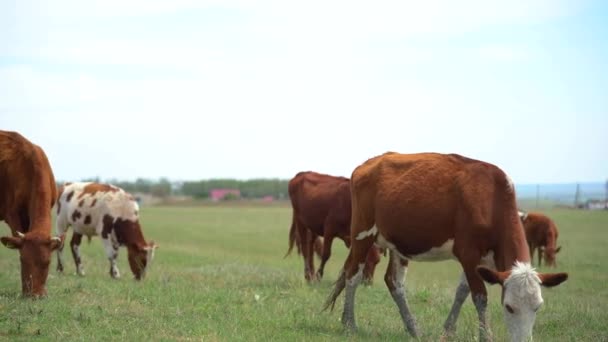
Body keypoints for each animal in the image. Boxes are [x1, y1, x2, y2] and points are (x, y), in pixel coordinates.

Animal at [326, 153, 568, 342]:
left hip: (396, 243)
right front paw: (485, 336)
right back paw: (349, 324)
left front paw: (448, 331)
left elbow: (461, 291)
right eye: (509, 307)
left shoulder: (482, 261)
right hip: (362, 234)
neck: (491, 199)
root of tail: (366, 165)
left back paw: (413, 329)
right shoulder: (468, 253)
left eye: (537, 307)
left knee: (394, 282)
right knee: (353, 275)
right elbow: (479, 296)